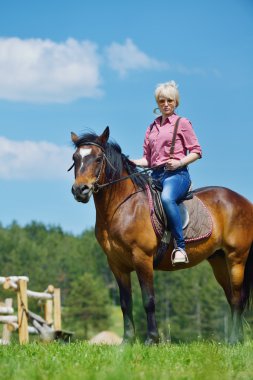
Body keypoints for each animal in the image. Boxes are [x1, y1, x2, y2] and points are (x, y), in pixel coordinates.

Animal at [69, 127, 253, 344]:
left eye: (98, 159)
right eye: (75, 158)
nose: (80, 190)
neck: (123, 207)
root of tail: (244, 201)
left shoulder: (142, 258)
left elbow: (148, 300)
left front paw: (151, 339)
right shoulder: (116, 264)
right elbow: (125, 303)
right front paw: (127, 341)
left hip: (236, 258)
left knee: (238, 298)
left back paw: (234, 340)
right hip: (219, 260)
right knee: (232, 298)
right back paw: (236, 340)